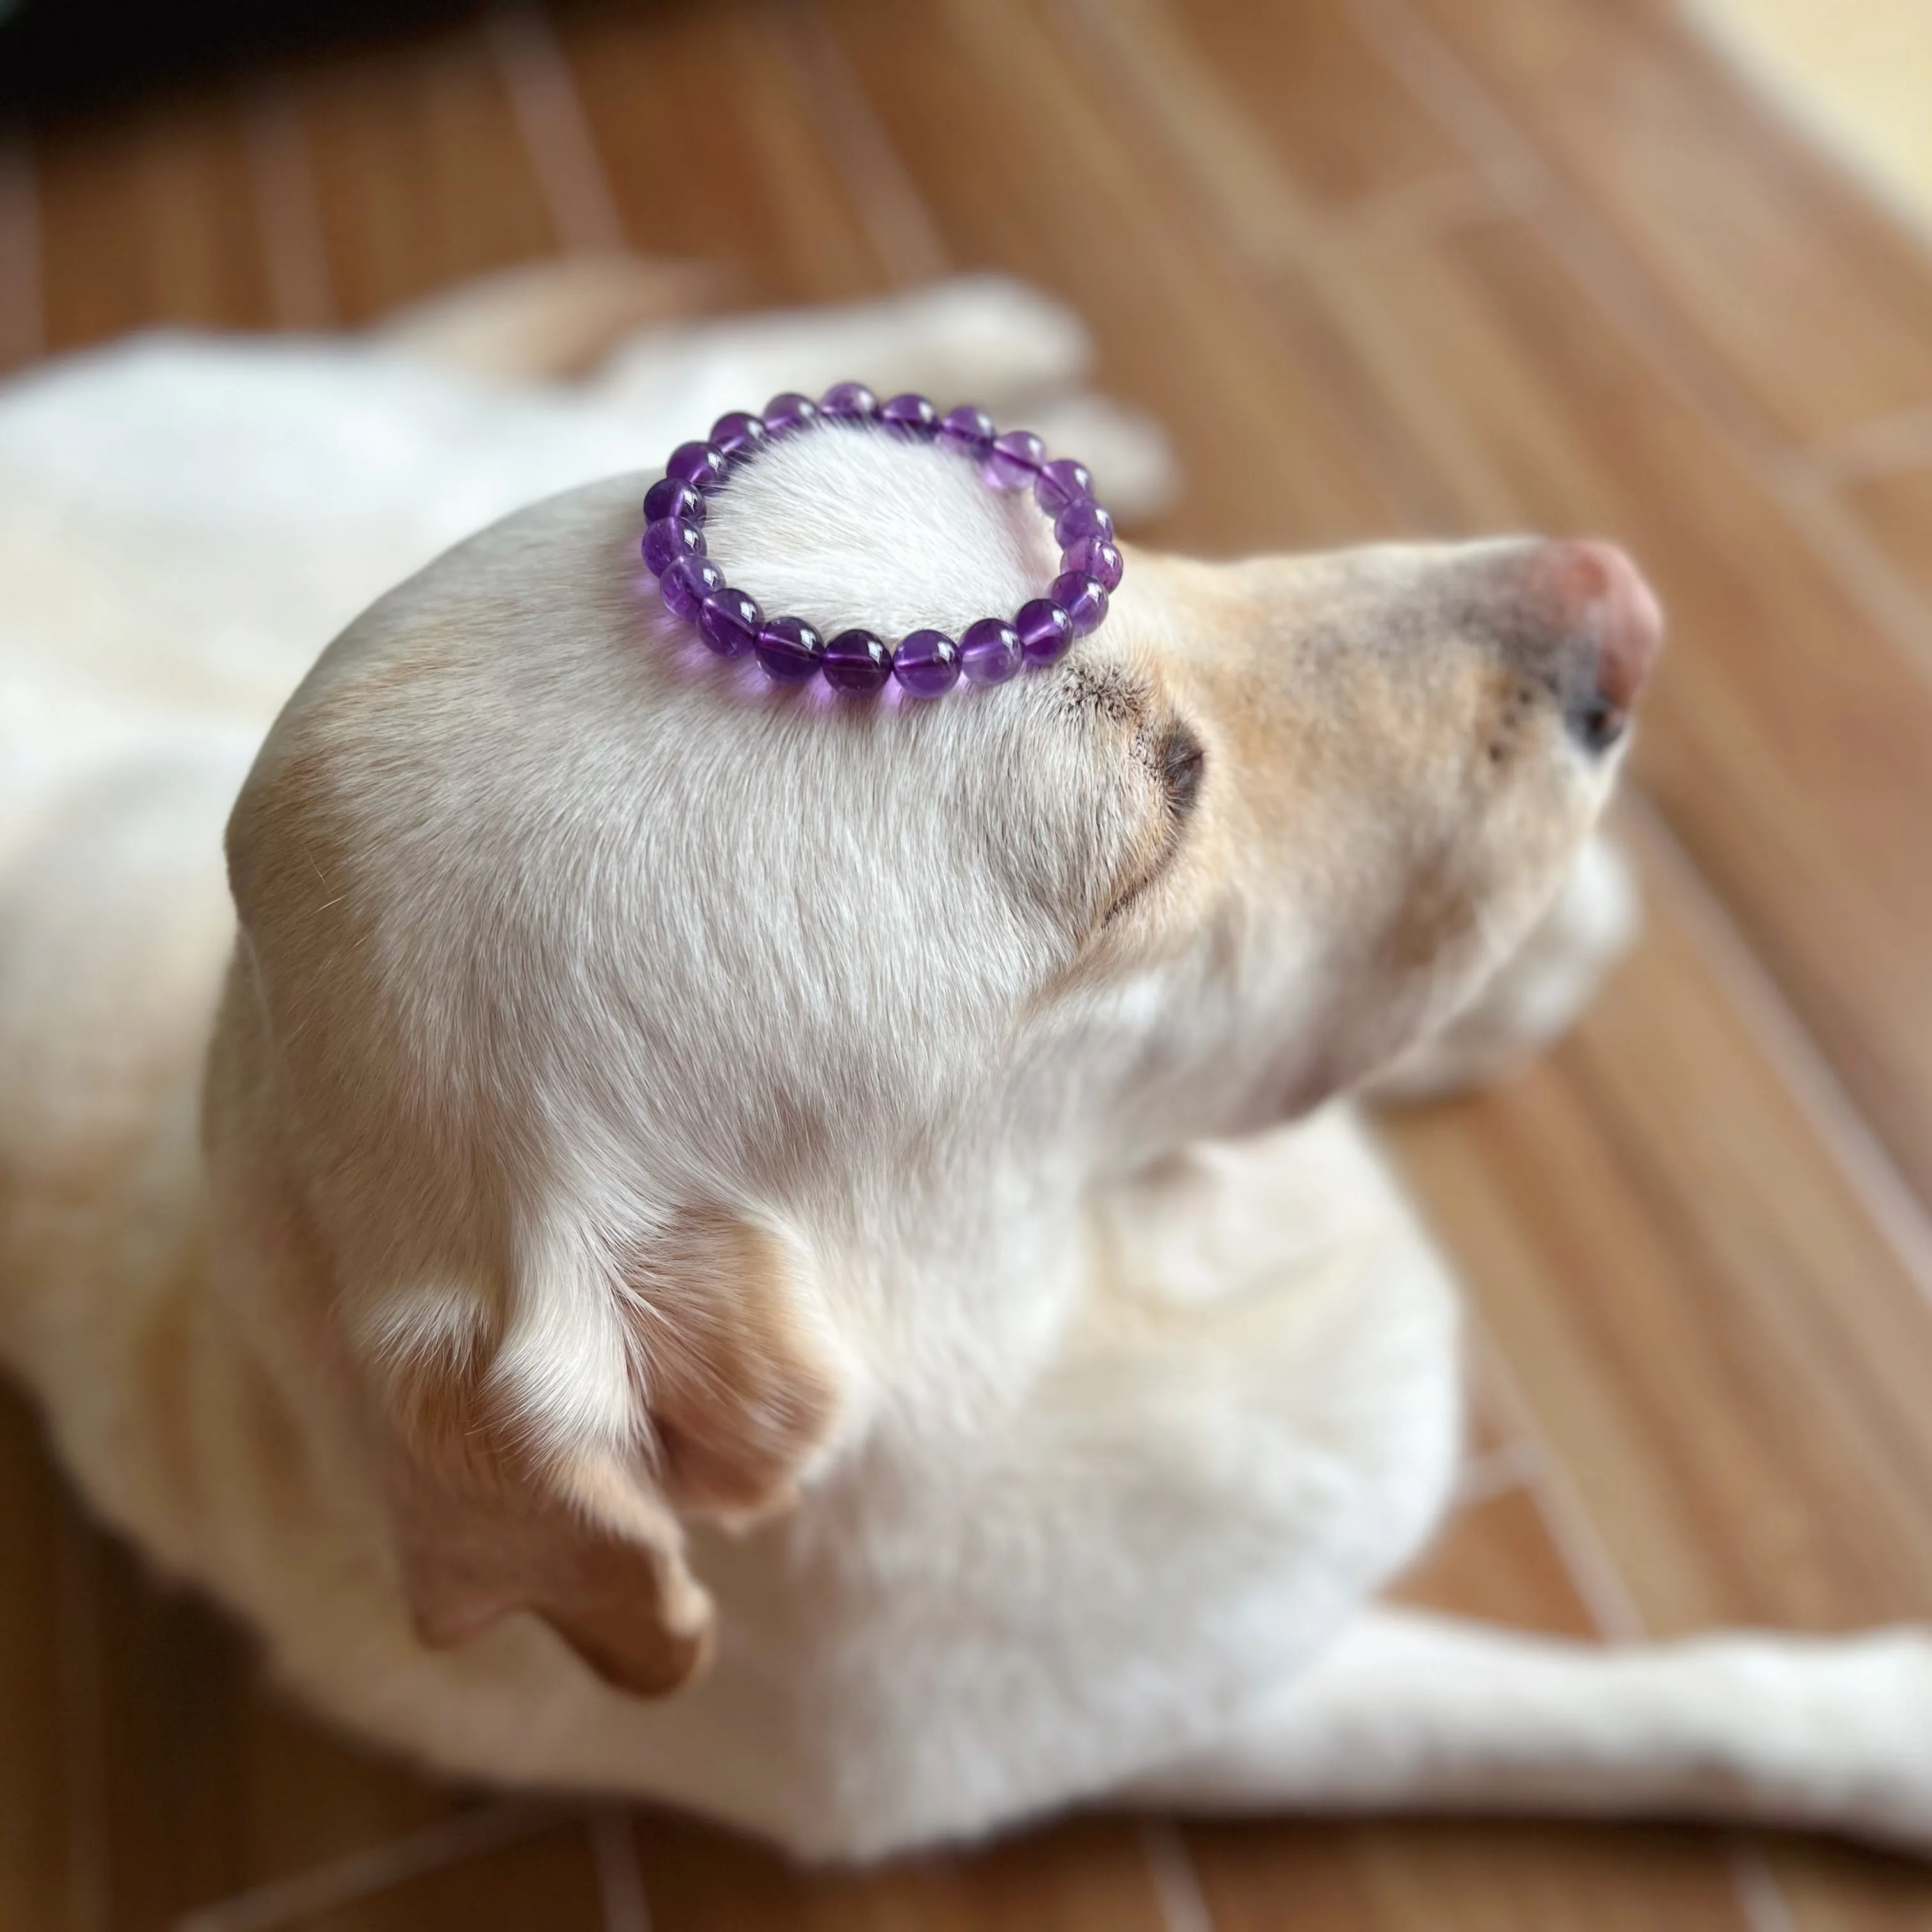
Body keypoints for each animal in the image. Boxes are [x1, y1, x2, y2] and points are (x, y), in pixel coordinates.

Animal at [3, 264, 1932, 1862]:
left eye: (1123, 572)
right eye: (1155, 823)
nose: (1619, 593)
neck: (1086, 1279)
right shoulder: (1182, 1708)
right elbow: (1635, 1717)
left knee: (665, 370)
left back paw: (1000, 345)